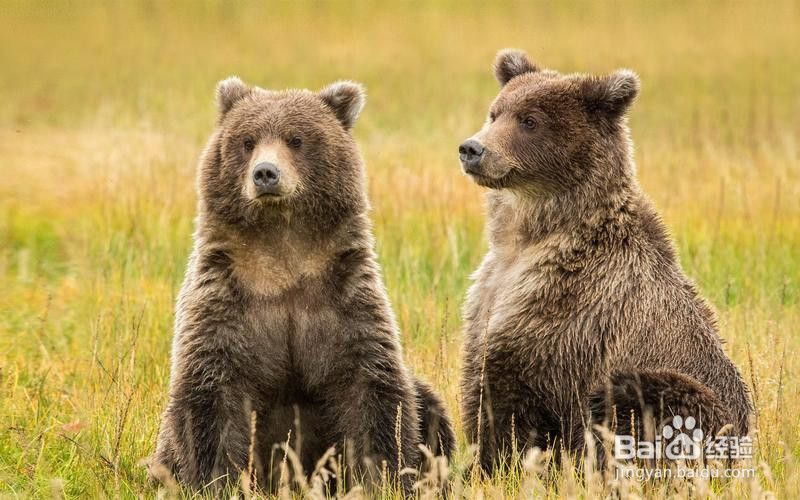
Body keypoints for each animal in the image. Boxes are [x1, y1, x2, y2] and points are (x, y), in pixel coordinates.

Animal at [148, 77, 450, 492]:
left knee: (429, 405)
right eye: (247, 140)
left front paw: (380, 477)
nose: (265, 173)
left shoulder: (343, 297)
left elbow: (372, 391)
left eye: (296, 139)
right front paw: (216, 480)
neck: (284, 252)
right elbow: (212, 394)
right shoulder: (226, 299)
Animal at [460, 48, 752, 470]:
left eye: (530, 120)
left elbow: (514, 398)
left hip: (689, 396)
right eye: (495, 113)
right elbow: (480, 387)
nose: (472, 149)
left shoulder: (570, 314)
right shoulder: (488, 294)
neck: (527, 241)